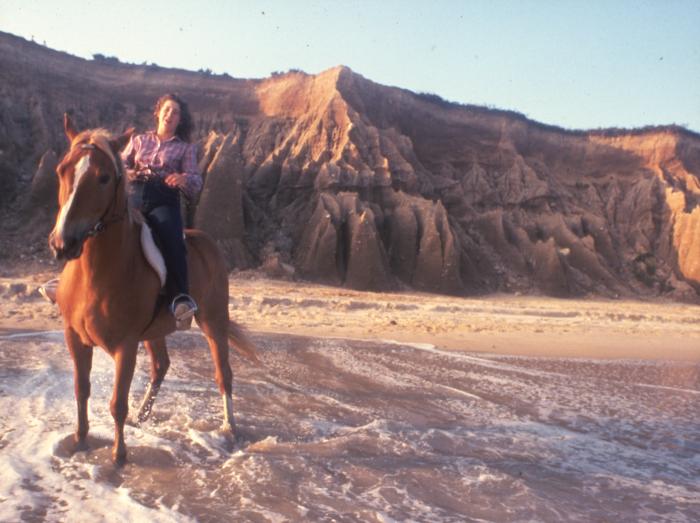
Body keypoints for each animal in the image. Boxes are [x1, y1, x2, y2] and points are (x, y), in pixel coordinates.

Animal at [48, 114, 260, 466]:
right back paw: (142, 415)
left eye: (104, 177)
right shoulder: (75, 338)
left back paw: (229, 427)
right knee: (161, 366)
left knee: (223, 374)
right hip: (155, 331)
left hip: (214, 322)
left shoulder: (126, 345)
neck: (95, 274)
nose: (63, 243)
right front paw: (80, 441)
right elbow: (82, 390)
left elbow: (117, 402)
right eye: (61, 170)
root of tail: (206, 240)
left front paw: (119, 456)